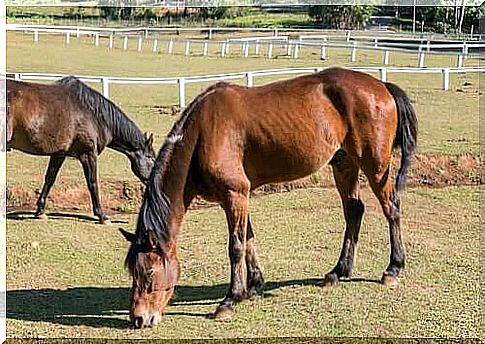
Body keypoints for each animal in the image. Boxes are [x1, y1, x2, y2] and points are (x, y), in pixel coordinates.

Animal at [7, 76, 155, 224]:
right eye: (151, 158)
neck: (93, 114)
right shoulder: (88, 154)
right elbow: (92, 183)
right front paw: (102, 216)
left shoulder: (60, 153)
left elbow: (50, 179)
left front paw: (40, 211)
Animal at [119, 67, 418, 328]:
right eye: (133, 272)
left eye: (148, 272)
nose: (139, 318)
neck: (203, 133)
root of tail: (382, 86)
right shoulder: (239, 196)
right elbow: (248, 239)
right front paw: (253, 286)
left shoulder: (234, 194)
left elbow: (236, 247)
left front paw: (229, 300)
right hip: (344, 165)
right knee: (354, 210)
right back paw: (339, 271)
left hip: (375, 166)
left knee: (391, 208)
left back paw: (393, 269)